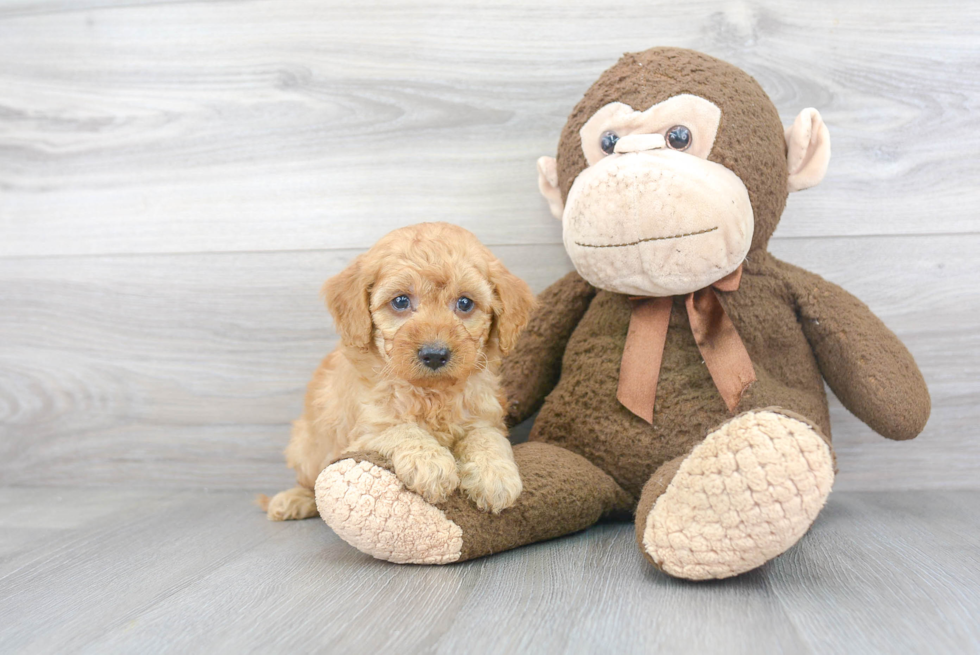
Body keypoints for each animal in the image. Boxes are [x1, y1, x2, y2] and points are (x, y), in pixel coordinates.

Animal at [260, 224, 536, 524]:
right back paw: (292, 500)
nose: (435, 354)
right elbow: (402, 430)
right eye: (401, 301)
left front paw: (495, 476)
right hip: (307, 446)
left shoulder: (485, 416)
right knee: (310, 481)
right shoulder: (366, 429)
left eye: (465, 303)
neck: (431, 392)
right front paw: (431, 464)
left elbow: (486, 438)